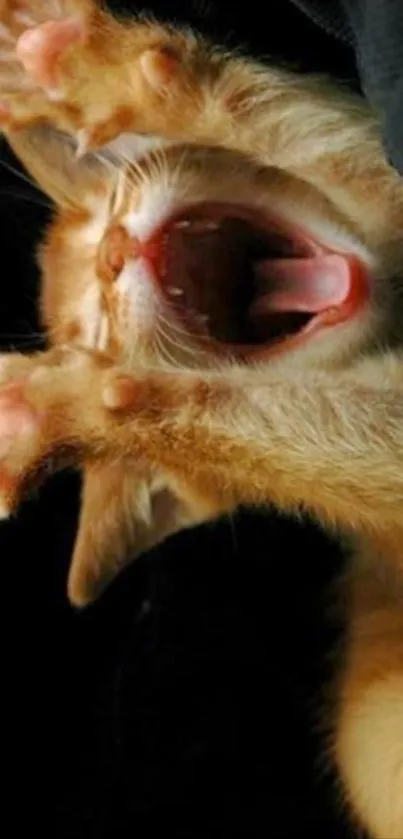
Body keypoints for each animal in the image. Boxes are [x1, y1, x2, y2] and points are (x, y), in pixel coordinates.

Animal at [0, 3, 403, 836]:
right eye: (97, 337)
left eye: (110, 213)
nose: (114, 252)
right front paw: (58, 411)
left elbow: (330, 148)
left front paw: (87, 69)